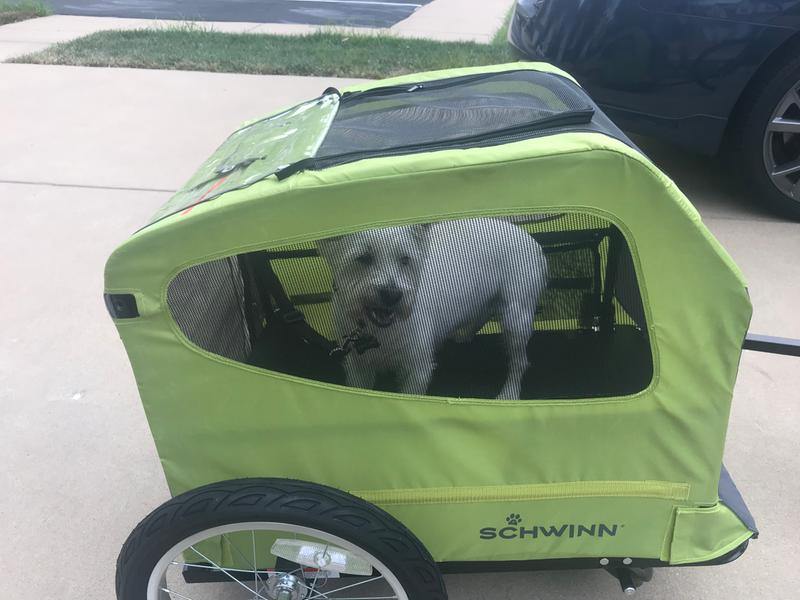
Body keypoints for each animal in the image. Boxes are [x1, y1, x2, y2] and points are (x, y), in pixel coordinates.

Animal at [318, 218, 552, 400]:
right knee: (481, 314)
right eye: (364, 257)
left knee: (519, 362)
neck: (378, 330)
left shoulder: (417, 370)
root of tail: (532, 241)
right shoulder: (358, 368)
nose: (393, 295)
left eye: (405, 259)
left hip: (517, 316)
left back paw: (509, 393)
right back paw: (464, 334)